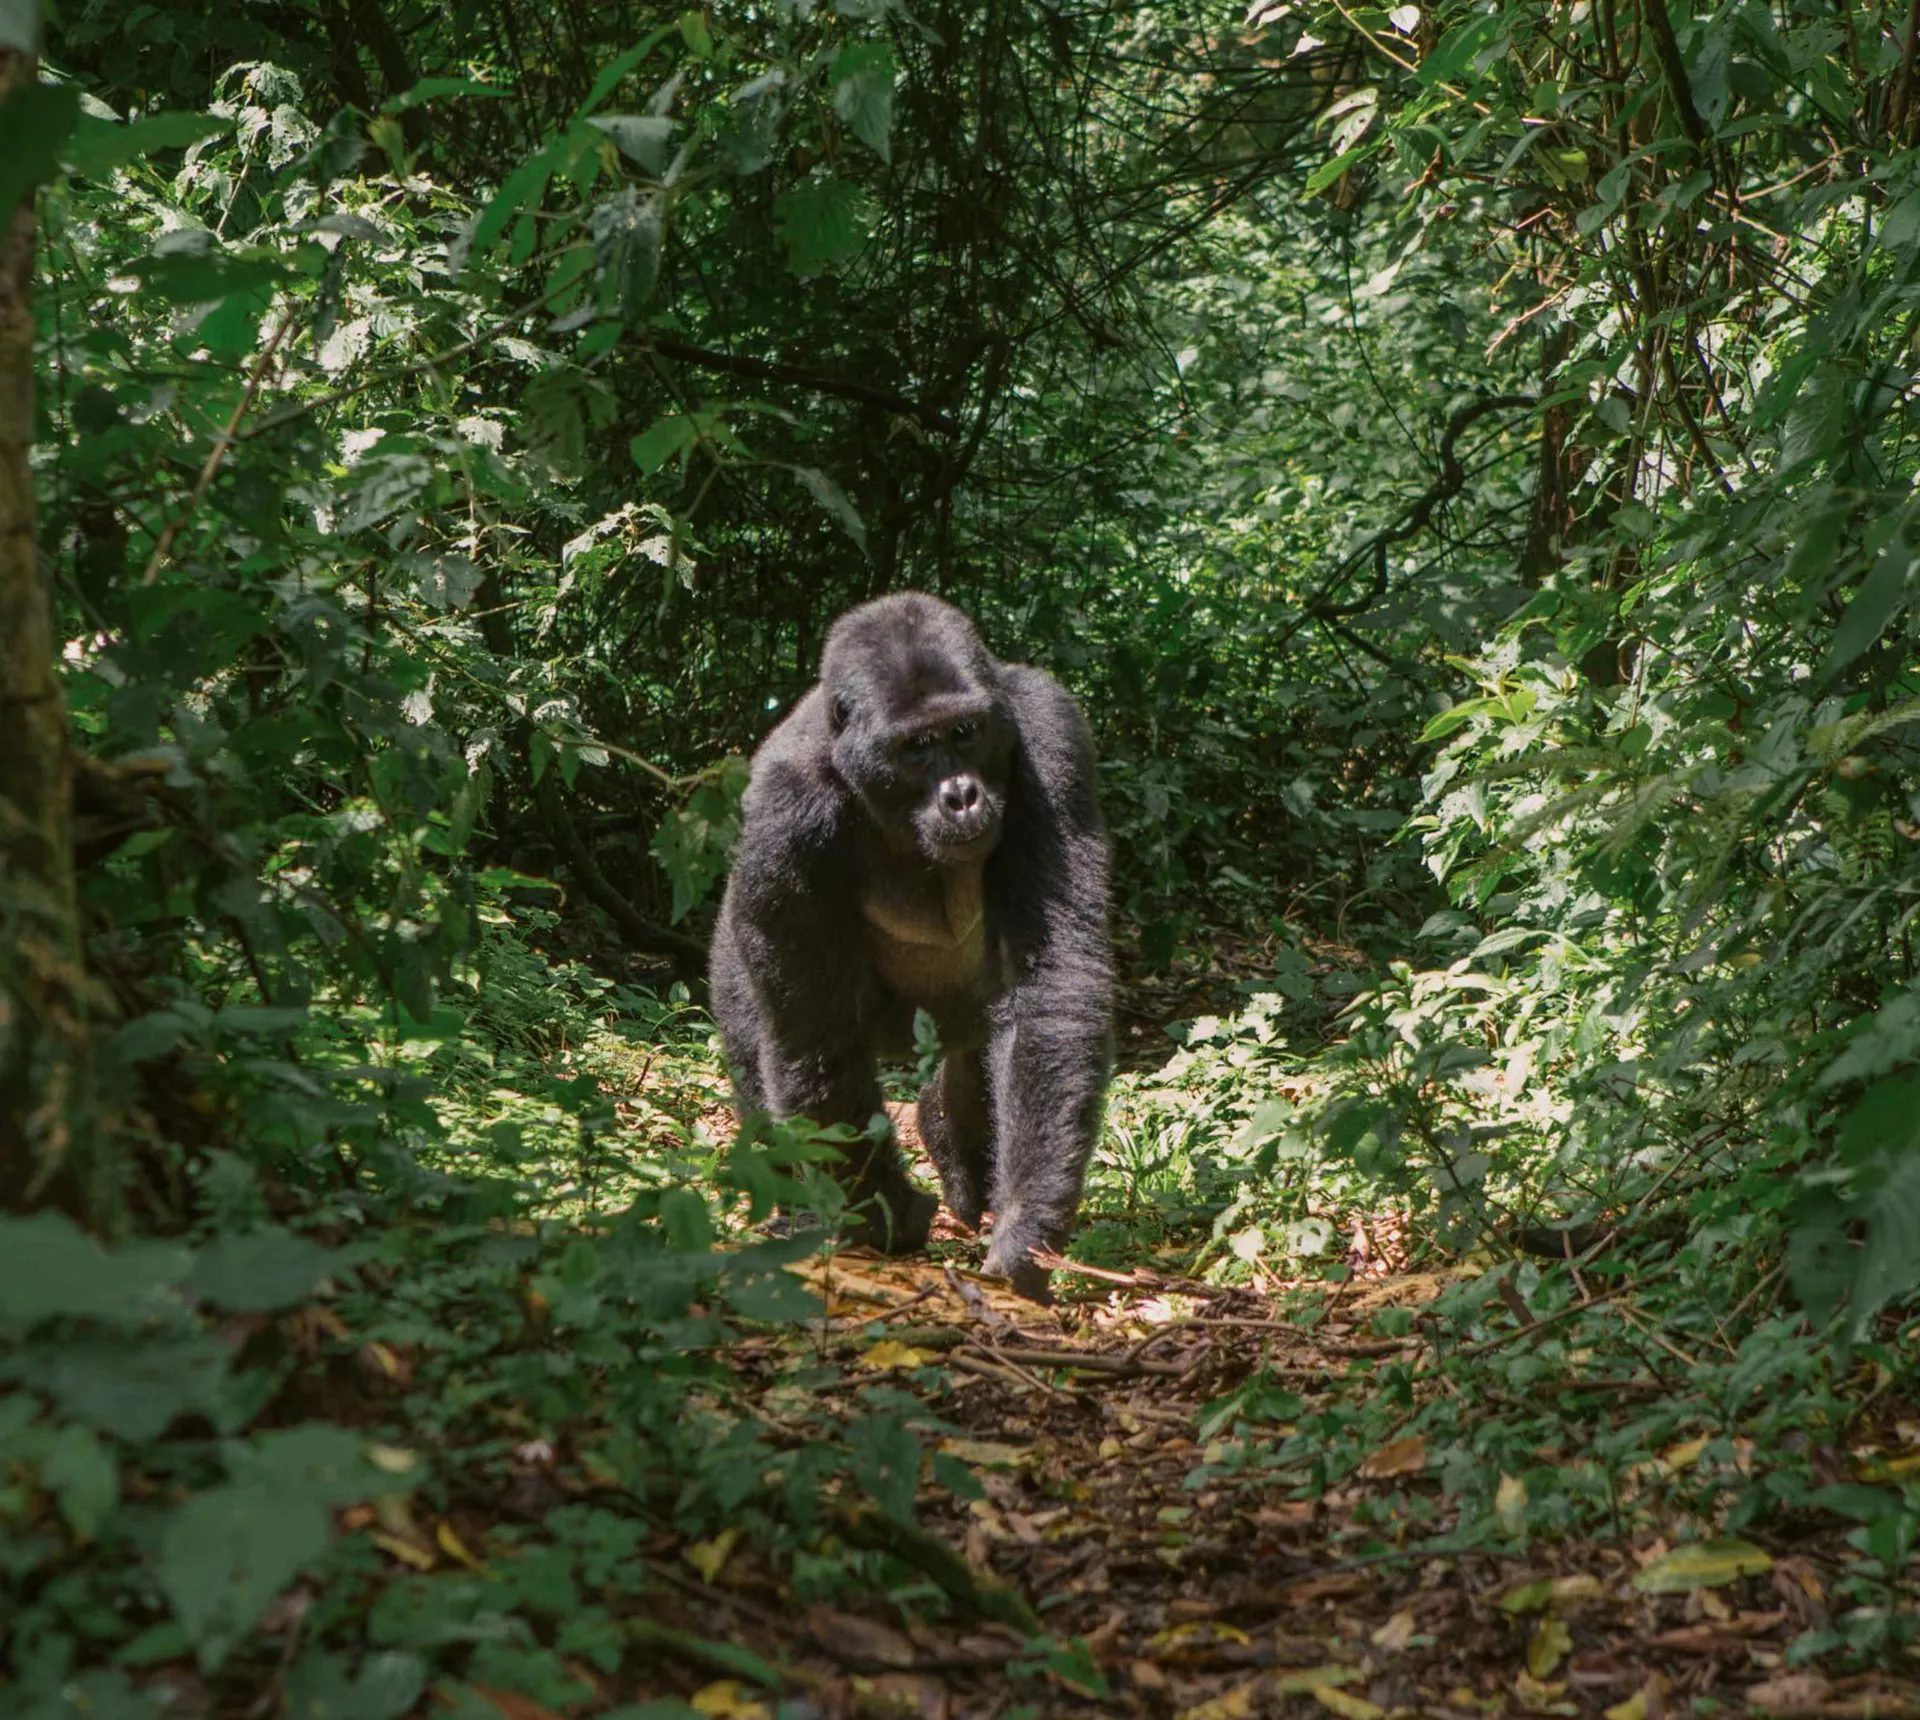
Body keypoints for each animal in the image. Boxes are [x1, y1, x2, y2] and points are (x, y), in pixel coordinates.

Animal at [708, 593, 1113, 1302]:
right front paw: (886, 1218)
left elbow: (1051, 985)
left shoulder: (1050, 731)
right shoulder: (784, 812)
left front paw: (1026, 1225)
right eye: (916, 747)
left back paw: (948, 1137)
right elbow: (816, 1034)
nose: (963, 796)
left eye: (966, 732)